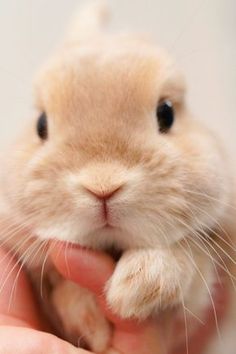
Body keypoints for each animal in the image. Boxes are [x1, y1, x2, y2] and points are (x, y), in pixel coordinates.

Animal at [0, 2, 235, 354]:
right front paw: (93, 324)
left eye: (167, 113)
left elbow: (187, 264)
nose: (103, 187)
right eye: (40, 125)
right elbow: (61, 289)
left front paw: (133, 291)